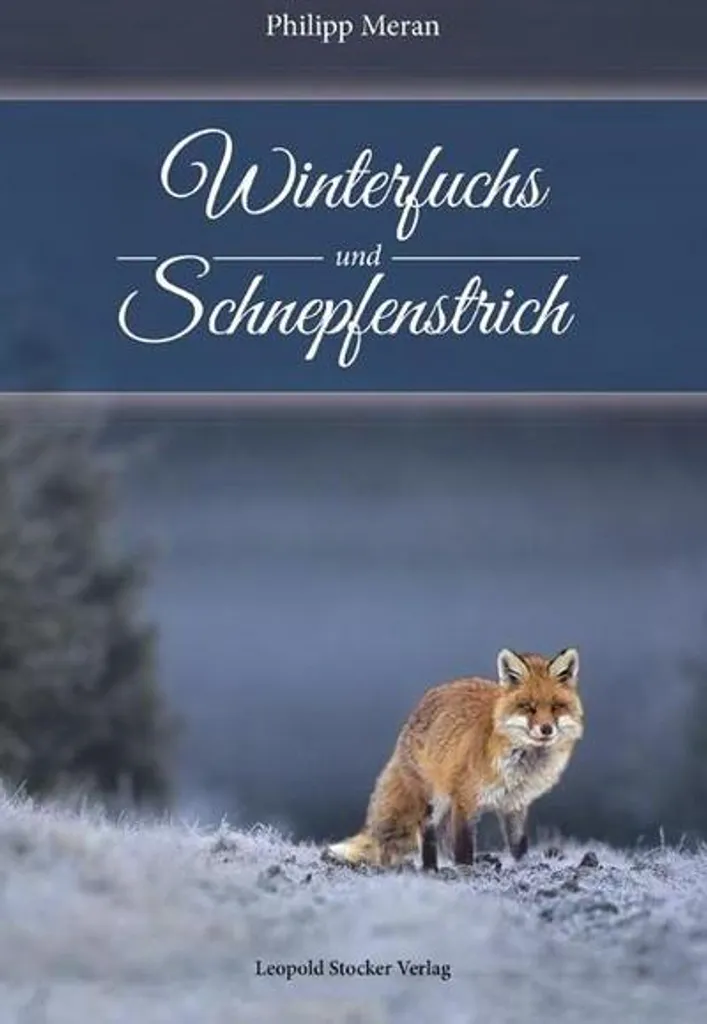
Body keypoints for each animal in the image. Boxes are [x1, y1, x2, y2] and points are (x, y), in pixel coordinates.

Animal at [323, 648, 583, 871]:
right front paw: (466, 871)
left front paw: (524, 867)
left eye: (556, 707)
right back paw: (430, 868)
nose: (546, 729)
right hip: (435, 799)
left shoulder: (515, 804)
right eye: (528, 707)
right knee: (427, 831)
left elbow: (518, 844)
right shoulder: (465, 798)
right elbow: (463, 847)